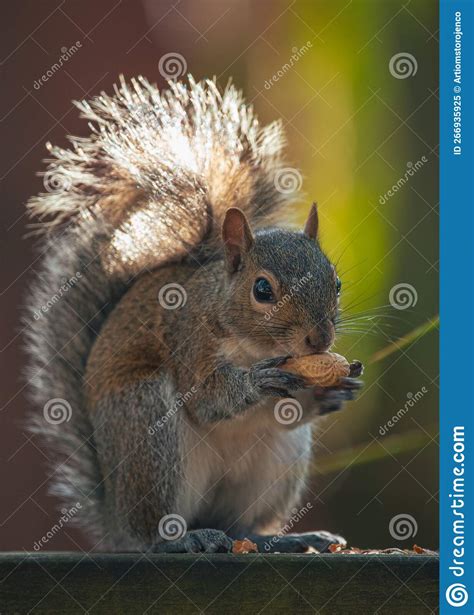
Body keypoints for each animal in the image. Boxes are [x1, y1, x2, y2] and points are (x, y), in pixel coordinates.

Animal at [24, 76, 362, 552]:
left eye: (337, 283)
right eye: (262, 290)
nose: (320, 340)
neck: (254, 344)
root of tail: (116, 520)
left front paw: (333, 392)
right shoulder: (189, 338)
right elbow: (206, 399)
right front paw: (256, 382)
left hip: (278, 463)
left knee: (240, 527)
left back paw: (281, 539)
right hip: (147, 424)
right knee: (154, 531)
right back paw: (180, 539)